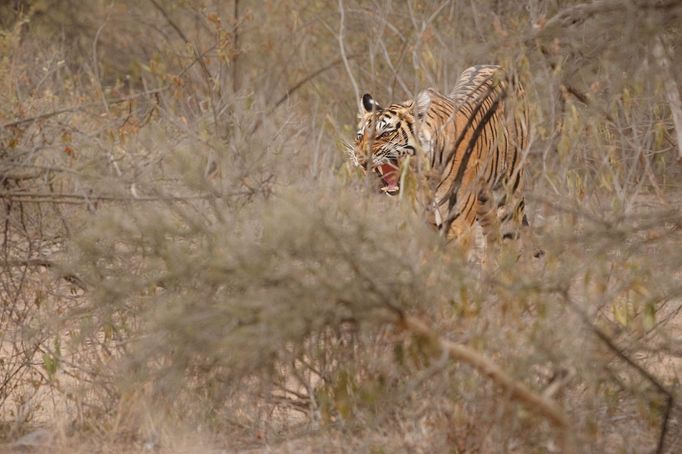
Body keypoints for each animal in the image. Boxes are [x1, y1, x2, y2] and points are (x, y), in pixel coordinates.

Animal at [348, 64, 528, 252]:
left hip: (509, 194)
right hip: (484, 201)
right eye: (360, 137)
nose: (359, 157)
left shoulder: (457, 223)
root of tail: (498, 66)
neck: (425, 175)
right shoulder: (422, 223)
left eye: (385, 134)